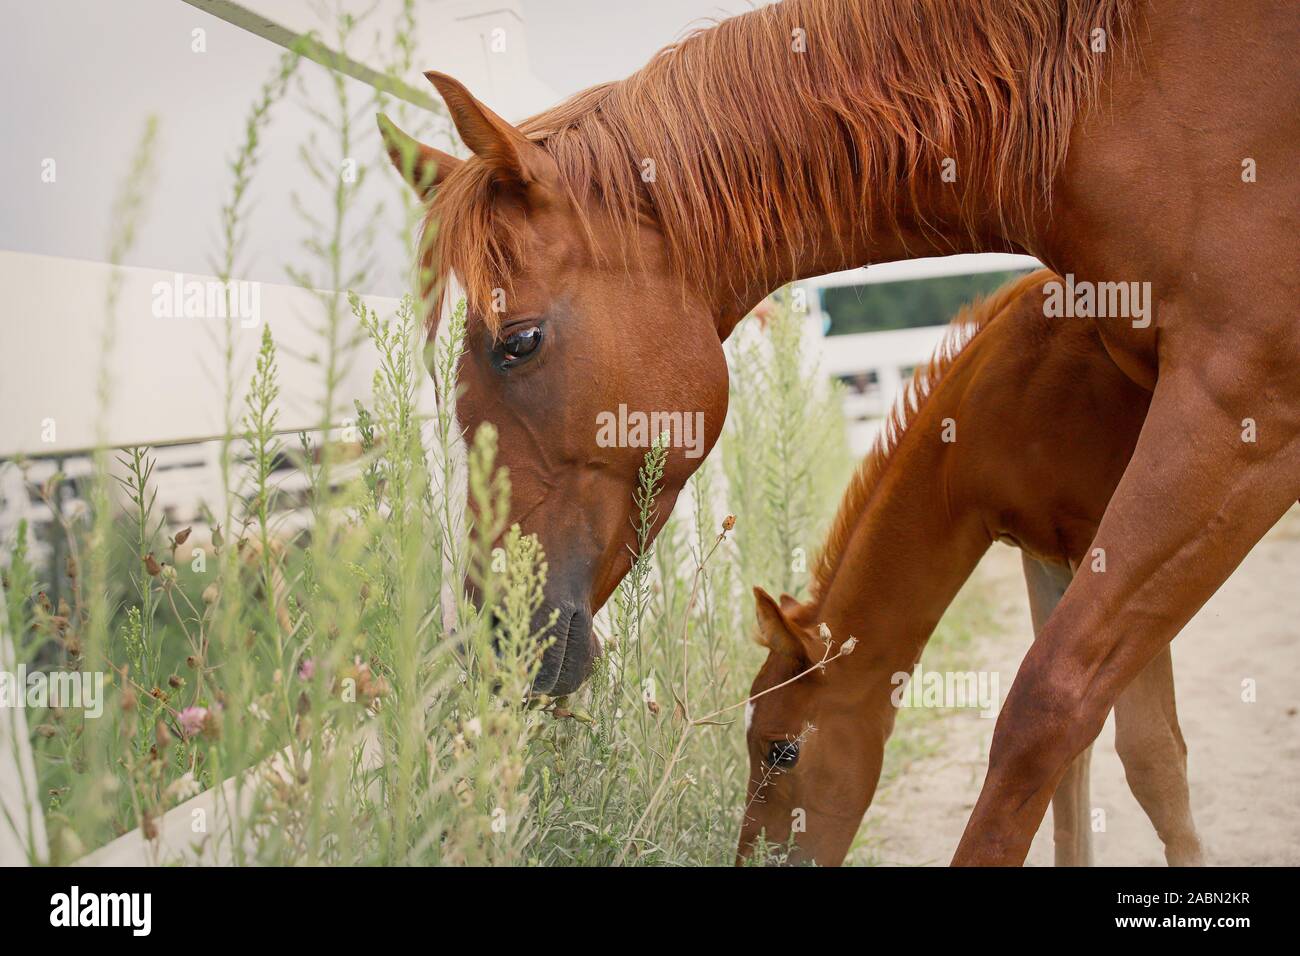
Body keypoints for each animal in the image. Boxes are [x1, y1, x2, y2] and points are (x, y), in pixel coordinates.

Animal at [738, 270, 1201, 868]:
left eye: (784, 751)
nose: (752, 859)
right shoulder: (1048, 555)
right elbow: (1070, 746)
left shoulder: (1119, 548)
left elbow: (1152, 752)